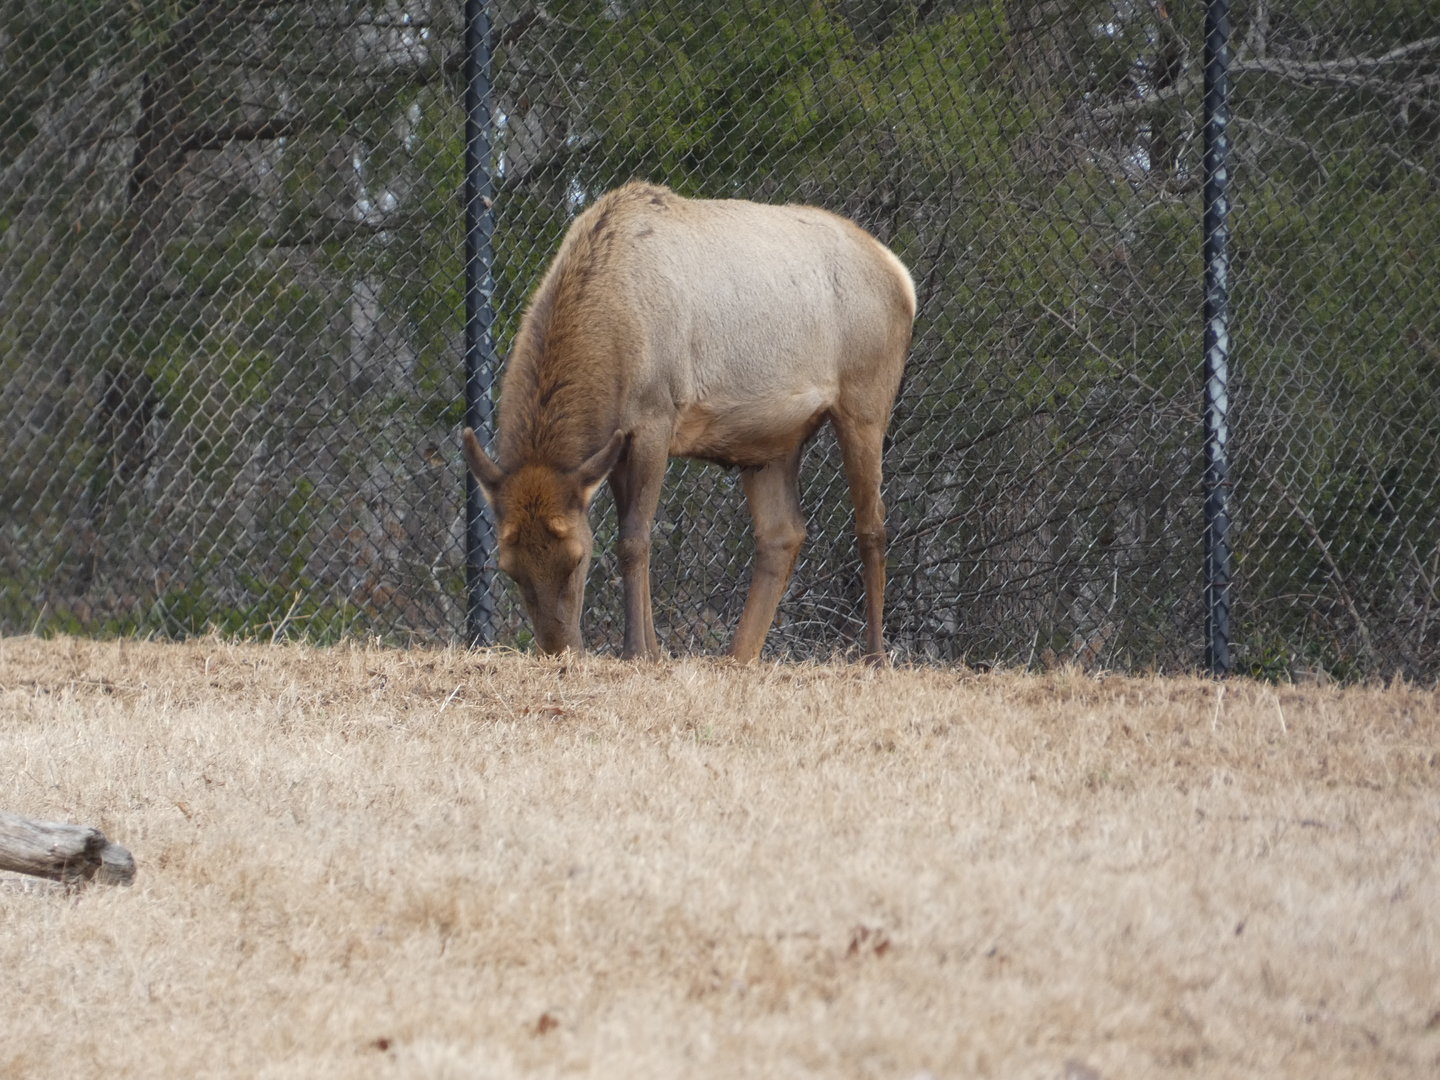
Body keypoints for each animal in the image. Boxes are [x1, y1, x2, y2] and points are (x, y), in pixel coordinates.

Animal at [462, 181, 914, 663]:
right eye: (510, 568)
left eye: (577, 558)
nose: (559, 650)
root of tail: (902, 277)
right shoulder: (617, 444)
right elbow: (632, 534)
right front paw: (653, 649)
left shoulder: (655, 417)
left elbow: (634, 540)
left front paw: (638, 651)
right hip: (771, 441)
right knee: (783, 533)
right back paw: (738, 655)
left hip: (866, 403)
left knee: (872, 525)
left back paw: (875, 655)